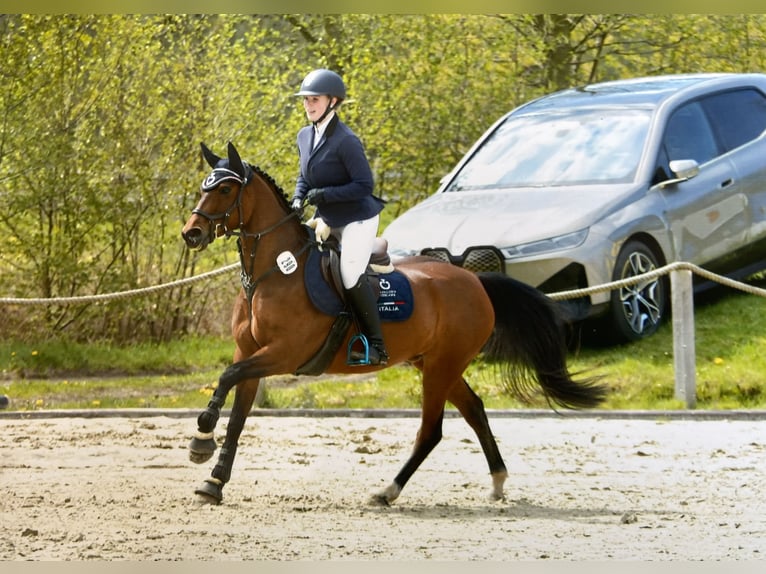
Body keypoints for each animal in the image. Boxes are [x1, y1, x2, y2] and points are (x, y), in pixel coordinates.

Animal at [183, 142, 608, 506]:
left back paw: (388, 491)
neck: (273, 273)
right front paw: (213, 482)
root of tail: (475, 281)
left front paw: (202, 435)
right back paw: (498, 481)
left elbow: (227, 377)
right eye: (204, 187)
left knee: (432, 430)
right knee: (474, 409)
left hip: (440, 368)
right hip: (436, 363)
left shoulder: (284, 354)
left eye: (224, 190)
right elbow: (238, 415)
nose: (191, 233)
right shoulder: (251, 352)